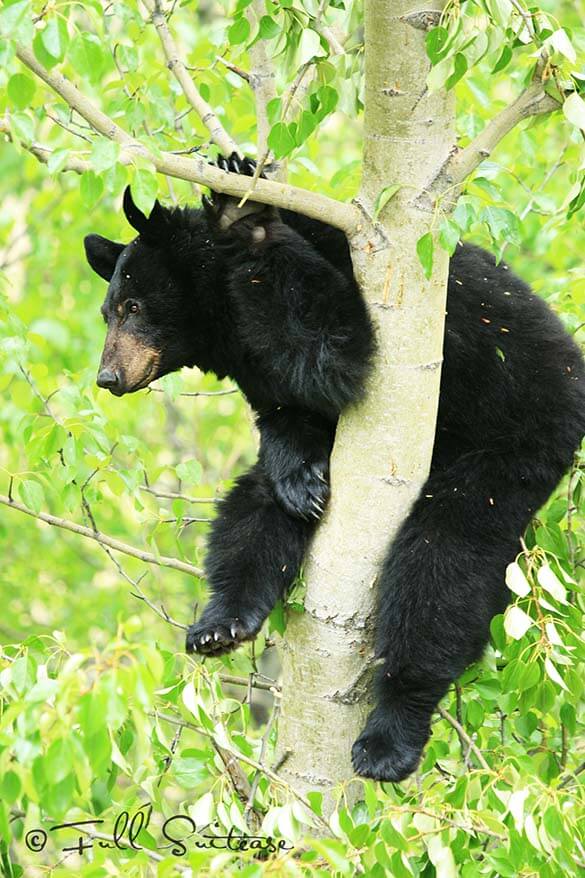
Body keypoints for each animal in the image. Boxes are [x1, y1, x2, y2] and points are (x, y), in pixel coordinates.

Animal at [83, 155, 584, 780]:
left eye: (133, 308)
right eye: (108, 311)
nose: (107, 377)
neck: (226, 315)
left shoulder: (341, 268)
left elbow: (333, 343)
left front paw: (245, 217)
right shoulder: (257, 366)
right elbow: (291, 410)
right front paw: (300, 479)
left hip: (513, 441)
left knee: (442, 564)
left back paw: (389, 737)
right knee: (250, 511)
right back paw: (222, 621)